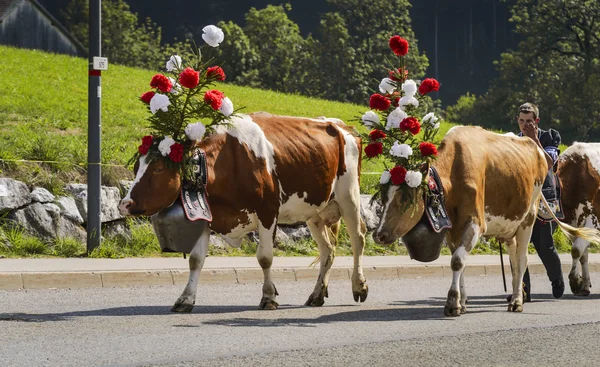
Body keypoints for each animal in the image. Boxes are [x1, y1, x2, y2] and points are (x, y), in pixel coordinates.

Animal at [119, 113, 368, 314]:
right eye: (136, 167)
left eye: (159, 168)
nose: (124, 204)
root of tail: (341, 126)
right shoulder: (207, 215)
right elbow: (196, 260)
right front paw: (185, 299)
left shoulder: (268, 212)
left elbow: (265, 258)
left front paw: (268, 297)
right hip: (315, 211)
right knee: (328, 250)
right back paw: (316, 295)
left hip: (349, 196)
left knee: (358, 239)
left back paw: (359, 286)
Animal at [372, 126, 596, 316]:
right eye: (383, 196)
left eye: (404, 198)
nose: (378, 235)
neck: (454, 171)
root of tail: (537, 149)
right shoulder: (453, 228)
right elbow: (459, 262)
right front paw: (462, 302)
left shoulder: (475, 222)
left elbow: (457, 261)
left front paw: (452, 303)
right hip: (510, 224)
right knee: (514, 260)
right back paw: (517, 295)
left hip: (529, 218)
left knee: (522, 259)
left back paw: (517, 301)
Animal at [560, 142, 600, 298]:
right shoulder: (572, 224)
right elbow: (583, 254)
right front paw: (584, 284)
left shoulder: (593, 221)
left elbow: (576, 250)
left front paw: (575, 281)